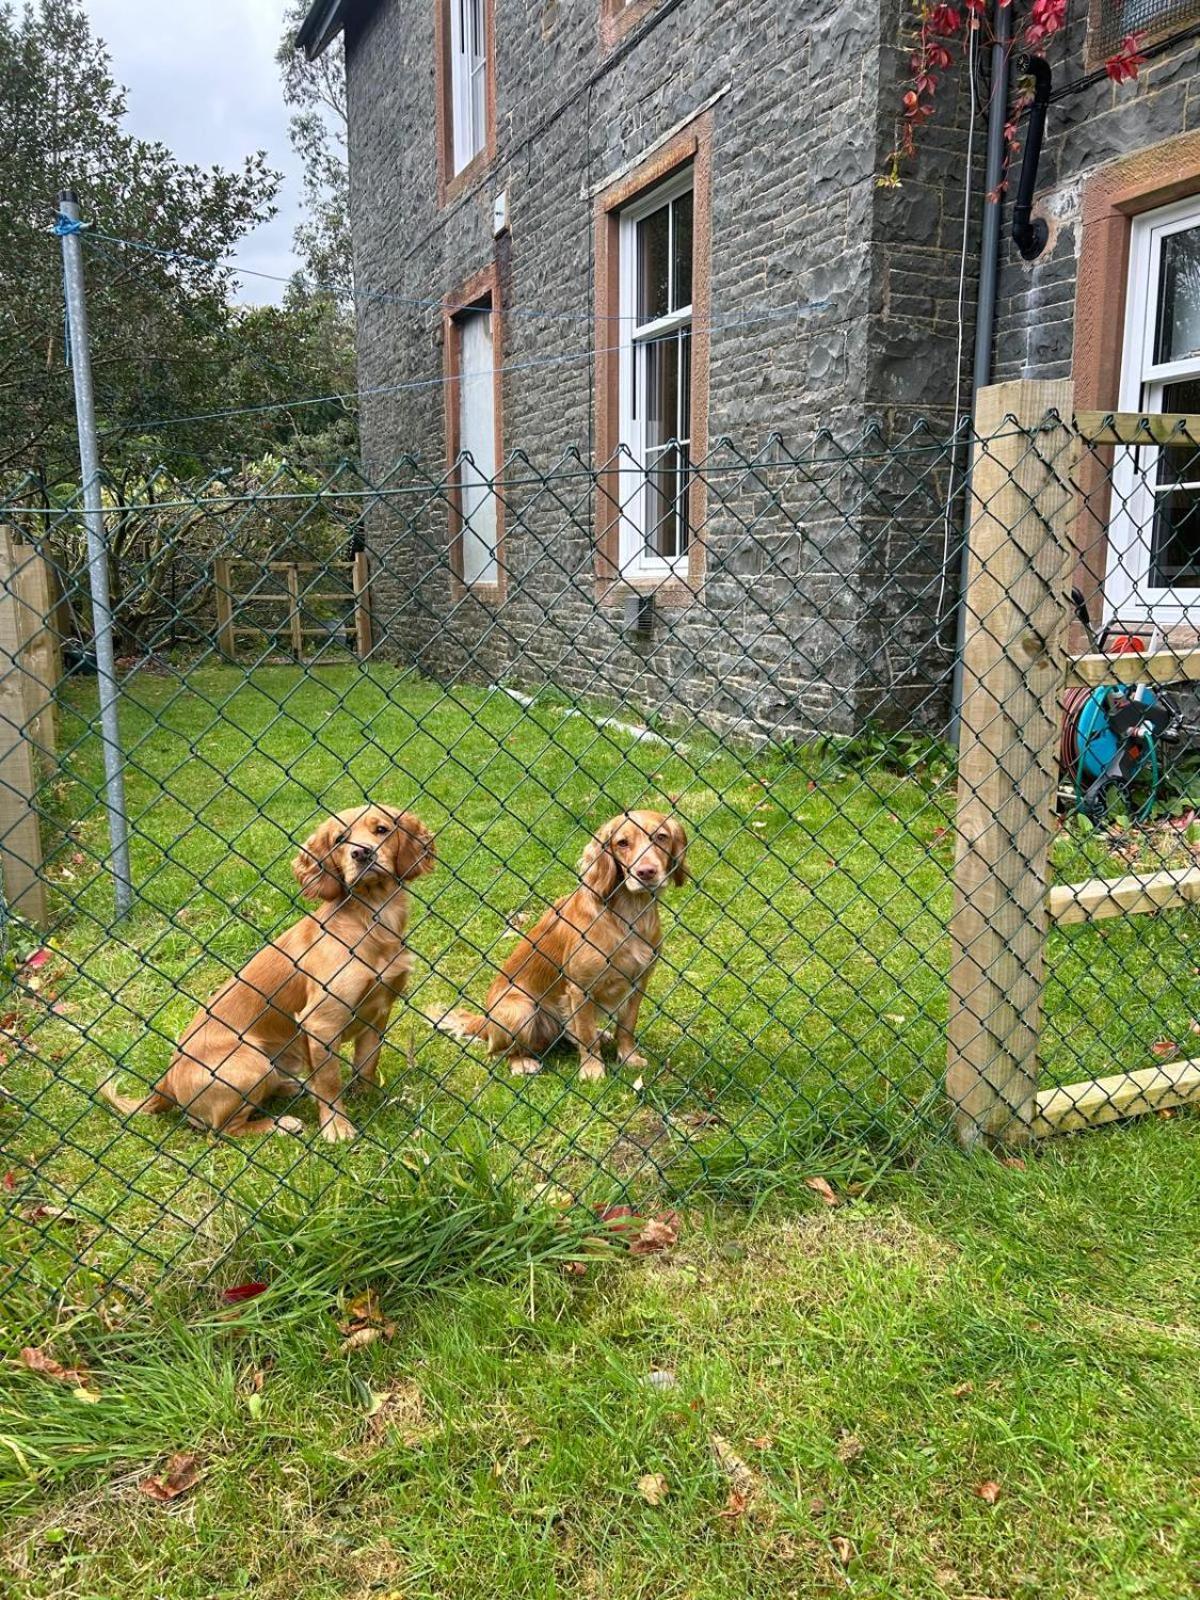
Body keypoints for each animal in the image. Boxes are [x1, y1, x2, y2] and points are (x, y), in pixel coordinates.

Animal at [100, 812, 438, 1139]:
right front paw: (337, 1128)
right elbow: (329, 1083)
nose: (362, 853)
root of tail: (166, 1082)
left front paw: (366, 1100)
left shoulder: (379, 1011)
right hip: (252, 1062)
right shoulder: (321, 1022)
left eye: (381, 829)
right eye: (339, 839)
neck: (372, 919)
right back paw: (280, 1124)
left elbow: (367, 1063)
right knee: (222, 1131)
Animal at [438, 812, 691, 1075]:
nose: (646, 872)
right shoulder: (580, 989)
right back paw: (522, 1062)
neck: (629, 914)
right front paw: (593, 1071)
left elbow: (626, 1026)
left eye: (661, 837)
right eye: (622, 843)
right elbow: (586, 1036)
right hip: (522, 1010)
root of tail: (485, 1020)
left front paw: (629, 1057)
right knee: (501, 1052)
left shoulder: (638, 982)